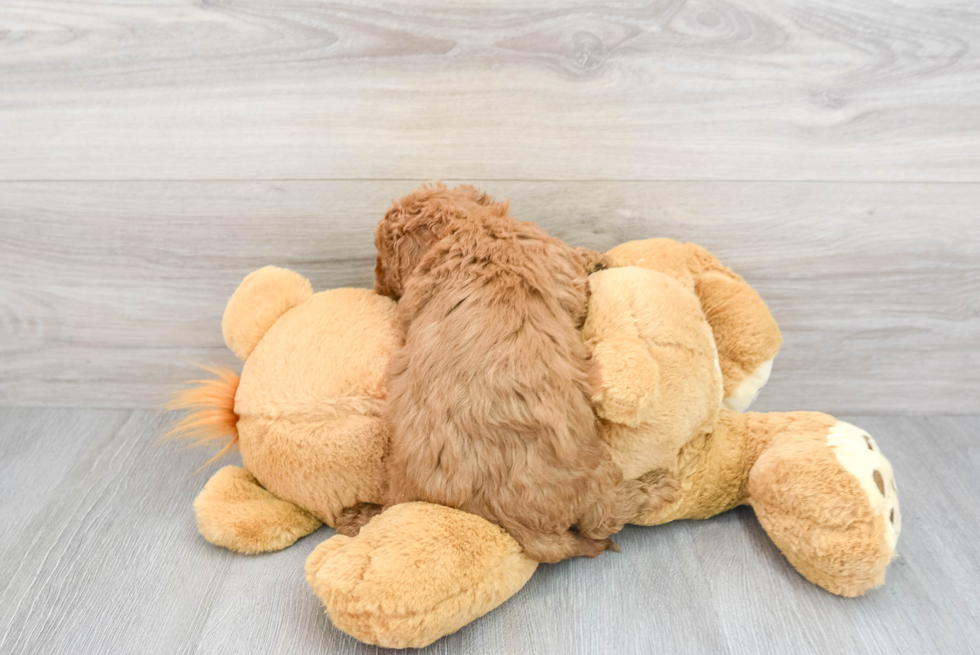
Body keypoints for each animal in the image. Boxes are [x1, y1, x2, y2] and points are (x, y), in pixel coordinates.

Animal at [374, 183, 644, 564]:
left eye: (381, 257)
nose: (376, 286)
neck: (467, 227)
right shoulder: (563, 269)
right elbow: (579, 271)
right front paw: (598, 258)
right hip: (597, 473)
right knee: (605, 518)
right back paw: (657, 486)